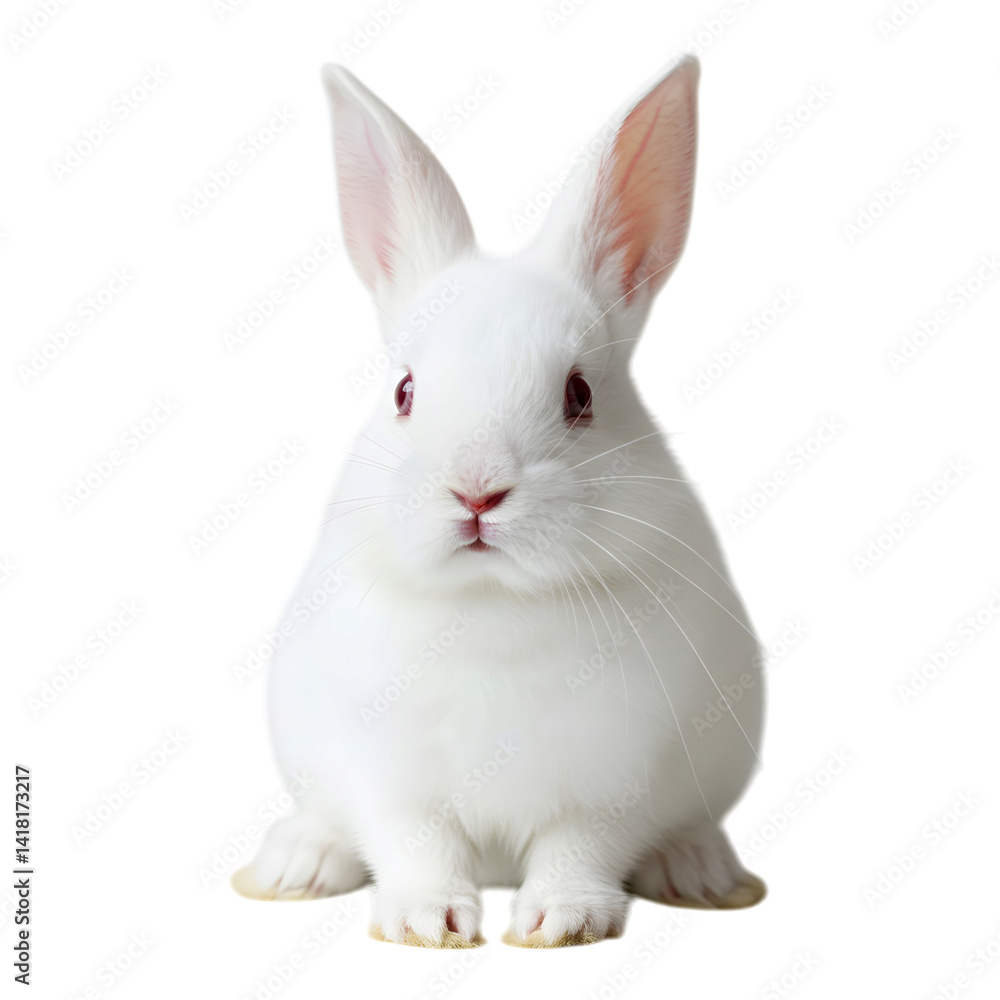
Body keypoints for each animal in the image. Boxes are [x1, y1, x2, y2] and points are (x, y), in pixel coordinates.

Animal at [232, 54, 766, 949]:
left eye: (580, 395)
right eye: (405, 392)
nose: (477, 492)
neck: (491, 602)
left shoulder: (617, 779)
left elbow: (579, 846)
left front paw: (560, 922)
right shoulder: (388, 776)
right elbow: (415, 844)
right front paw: (428, 922)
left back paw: (701, 873)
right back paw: (293, 866)